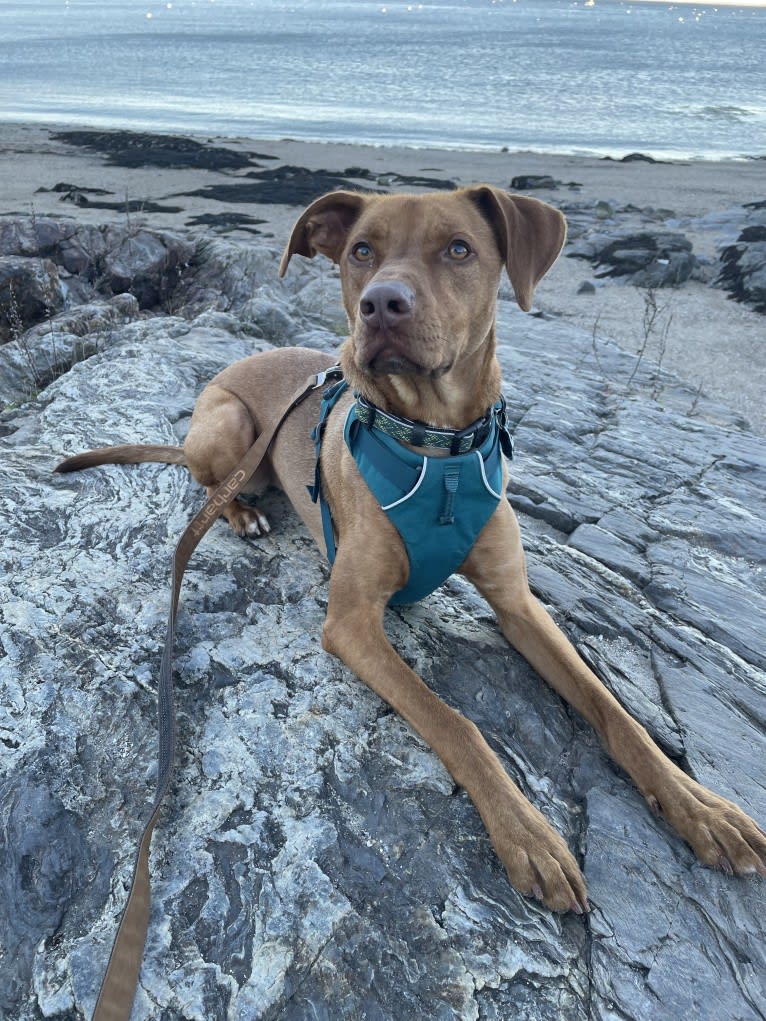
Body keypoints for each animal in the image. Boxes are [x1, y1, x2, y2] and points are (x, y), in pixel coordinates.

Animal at [61, 187, 766, 914]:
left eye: (459, 248)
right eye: (361, 250)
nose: (382, 304)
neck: (439, 449)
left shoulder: (519, 604)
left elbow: (613, 712)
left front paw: (702, 808)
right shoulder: (351, 622)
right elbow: (456, 722)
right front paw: (527, 834)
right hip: (227, 422)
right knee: (211, 484)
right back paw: (243, 512)